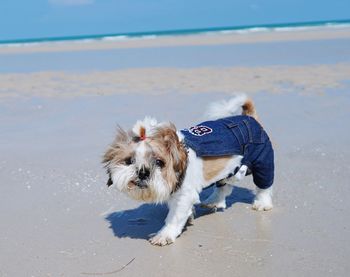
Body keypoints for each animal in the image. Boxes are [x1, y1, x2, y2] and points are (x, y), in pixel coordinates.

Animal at [102, 94, 274, 245]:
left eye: (159, 162)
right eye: (129, 161)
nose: (143, 171)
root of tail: (249, 118)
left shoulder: (183, 195)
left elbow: (174, 217)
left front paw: (165, 235)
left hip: (263, 161)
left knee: (264, 186)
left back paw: (262, 203)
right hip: (231, 169)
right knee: (224, 186)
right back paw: (215, 201)